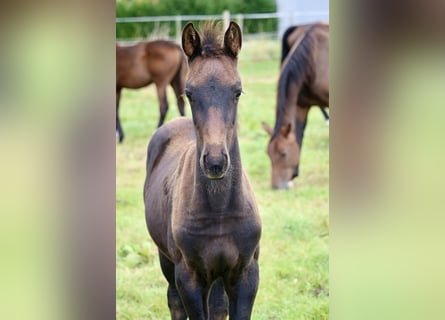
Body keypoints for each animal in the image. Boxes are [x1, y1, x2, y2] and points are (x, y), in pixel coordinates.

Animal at [143, 21, 260, 318]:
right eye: (189, 93)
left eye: (238, 91)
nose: (215, 162)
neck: (219, 210)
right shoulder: (189, 277)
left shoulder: (246, 274)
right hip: (167, 259)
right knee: (173, 300)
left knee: (218, 305)